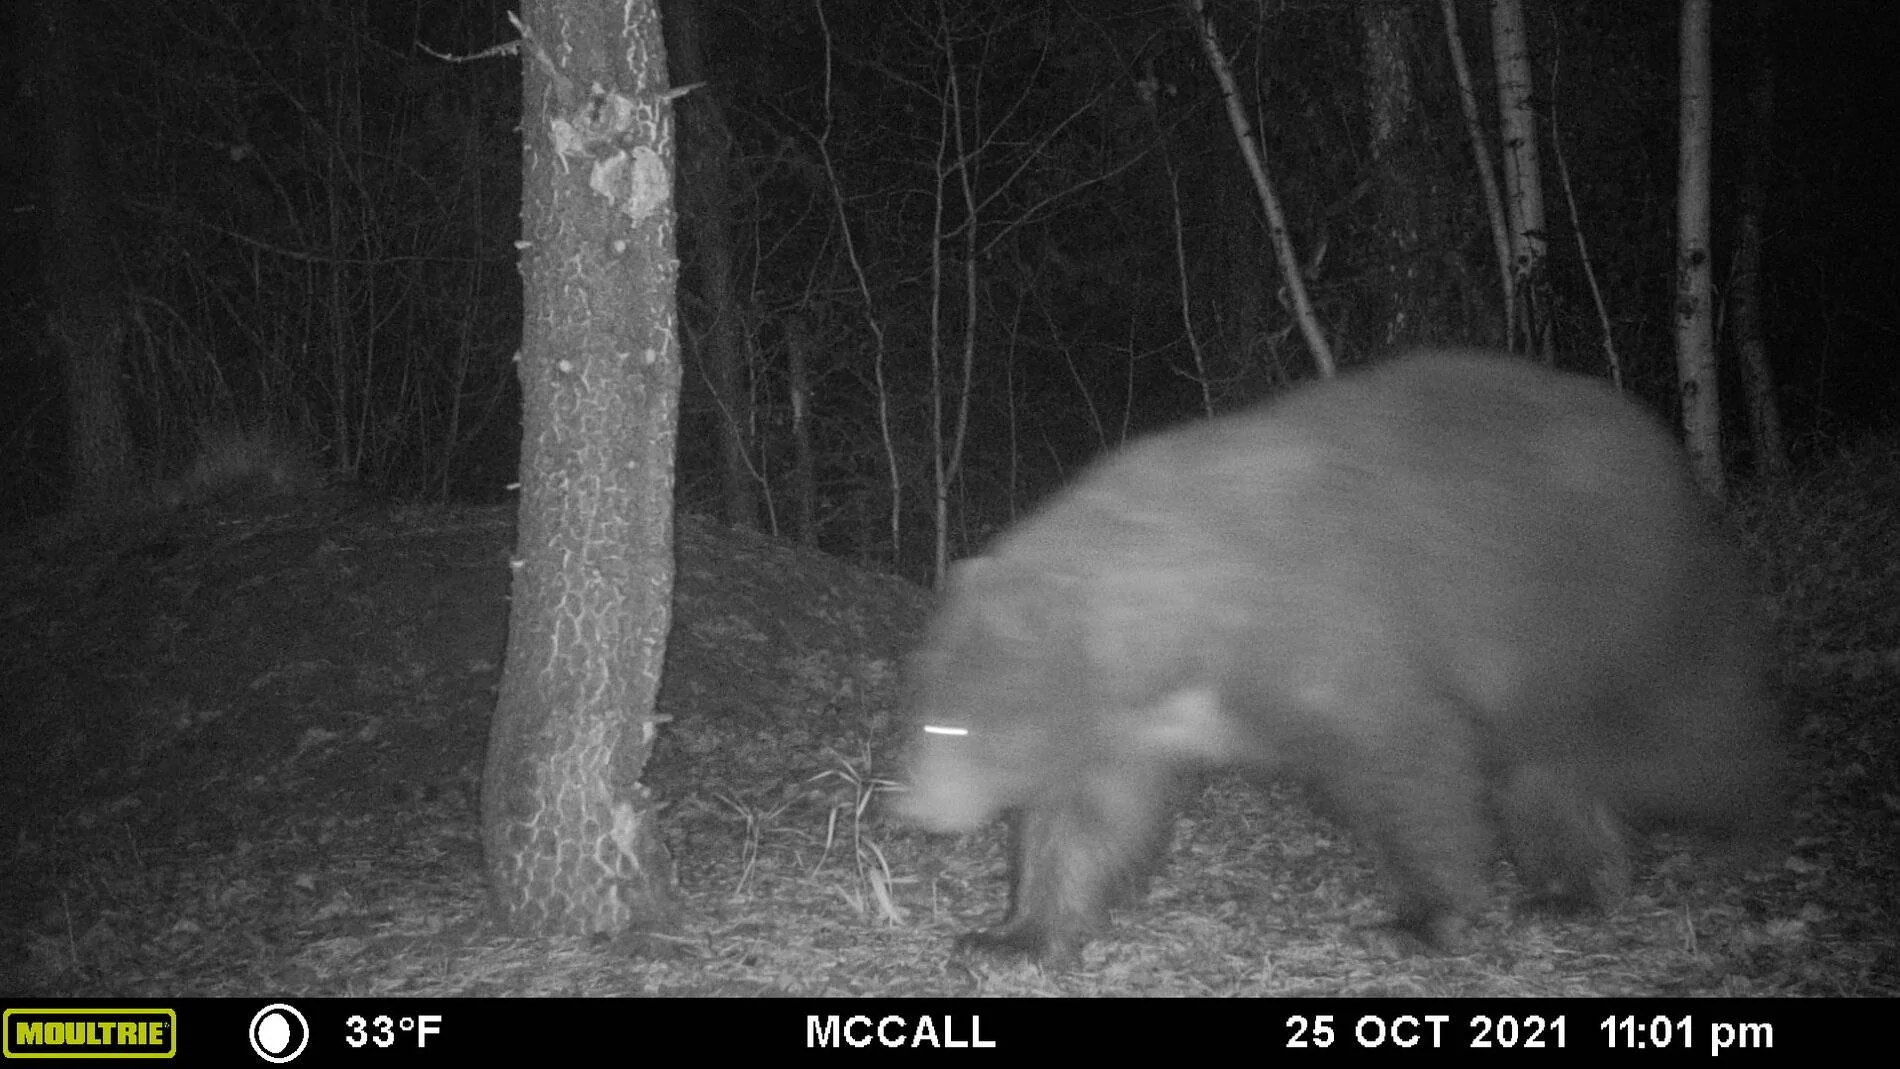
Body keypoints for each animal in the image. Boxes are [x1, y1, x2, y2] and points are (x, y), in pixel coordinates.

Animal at [894, 350, 1786, 965]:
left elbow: (1410, 760)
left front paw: (1422, 918)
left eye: (966, 729)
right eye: (928, 718)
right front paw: (1009, 935)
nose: (918, 810)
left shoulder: (1331, 628)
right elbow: (1085, 813)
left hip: (1610, 603)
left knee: (1686, 732)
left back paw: (1756, 821)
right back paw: (1571, 891)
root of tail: (1666, 453)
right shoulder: (1123, 716)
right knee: (1551, 770)